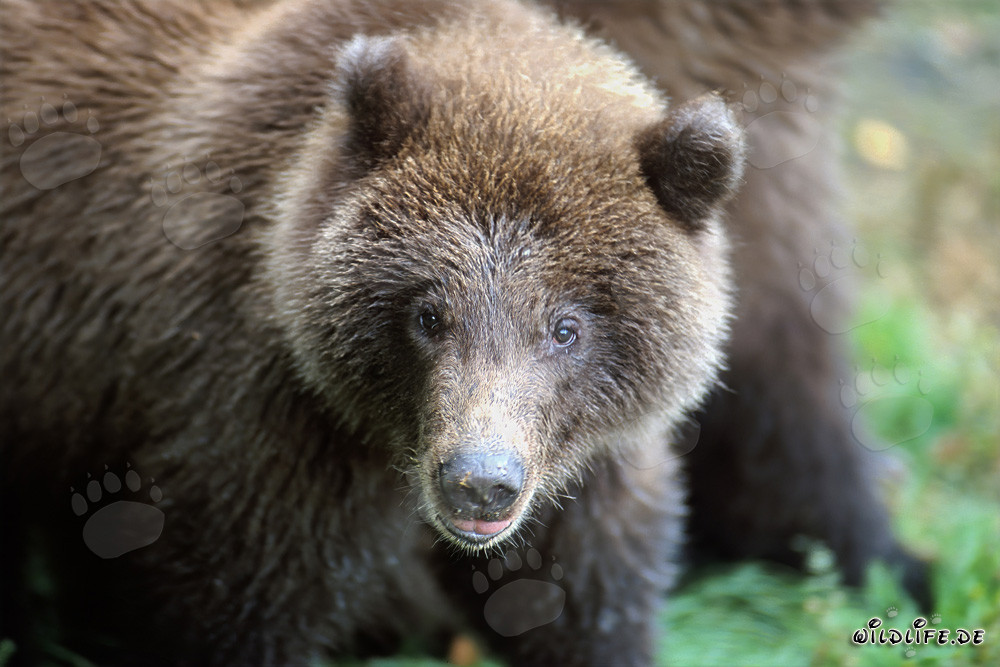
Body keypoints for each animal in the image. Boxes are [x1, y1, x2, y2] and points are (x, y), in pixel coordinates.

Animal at [1, 0, 744, 664]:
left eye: (566, 327)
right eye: (428, 314)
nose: (481, 480)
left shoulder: (585, 467)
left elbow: (586, 596)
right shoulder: (261, 409)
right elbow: (234, 600)